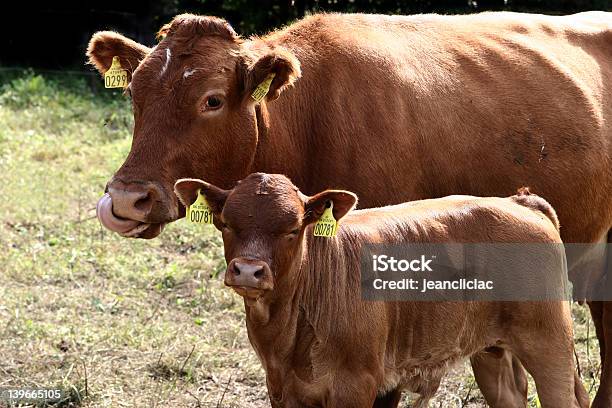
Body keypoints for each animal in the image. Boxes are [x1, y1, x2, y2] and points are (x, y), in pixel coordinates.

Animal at [175, 173, 592, 408]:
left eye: (293, 228)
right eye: (226, 224)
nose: (248, 270)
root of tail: (519, 202)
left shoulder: (355, 386)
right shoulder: (283, 389)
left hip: (548, 341)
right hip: (492, 349)